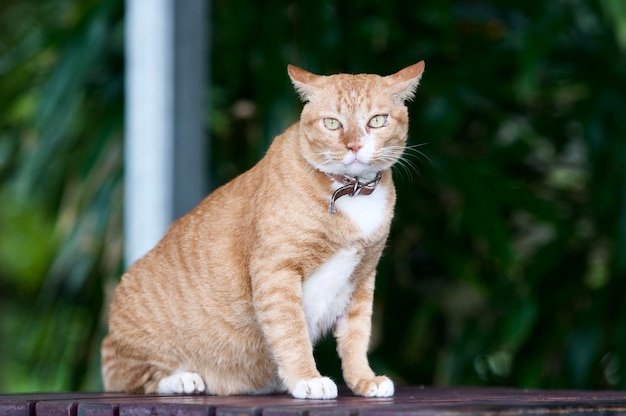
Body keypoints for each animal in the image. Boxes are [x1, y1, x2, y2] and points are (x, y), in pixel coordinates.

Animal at [101, 61, 424, 400]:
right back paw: (184, 379)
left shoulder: (362, 279)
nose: (355, 145)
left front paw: (363, 379)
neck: (353, 191)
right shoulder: (275, 271)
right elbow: (291, 332)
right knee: (136, 379)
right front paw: (306, 379)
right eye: (332, 124)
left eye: (377, 121)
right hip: (133, 347)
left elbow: (356, 337)